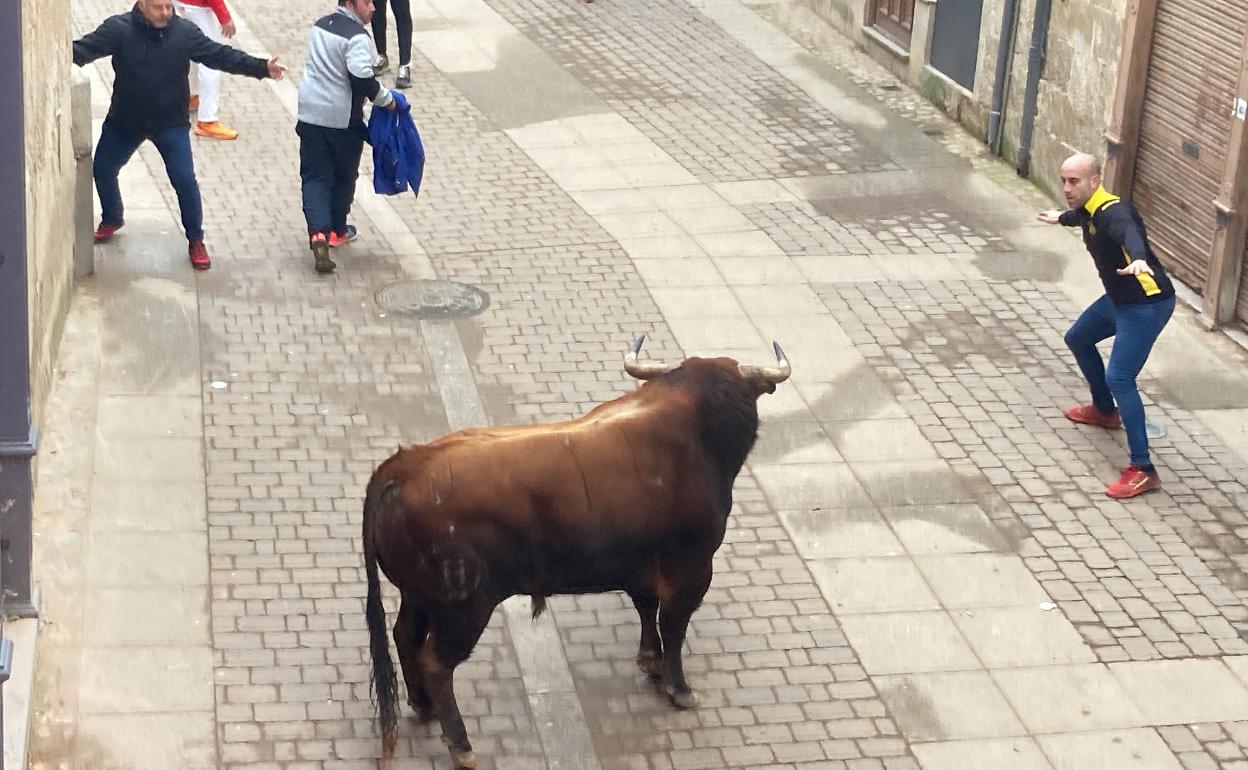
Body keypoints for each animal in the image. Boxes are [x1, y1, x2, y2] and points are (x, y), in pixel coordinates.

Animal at [361, 334, 788, 763]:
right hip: (462, 608)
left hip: (419, 595)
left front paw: (650, 661)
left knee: (405, 636)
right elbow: (674, 624)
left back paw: (424, 706)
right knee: (437, 662)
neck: (695, 427)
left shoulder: (641, 567)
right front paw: (679, 688)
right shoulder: (693, 567)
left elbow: (647, 608)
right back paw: (461, 745)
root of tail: (402, 468)